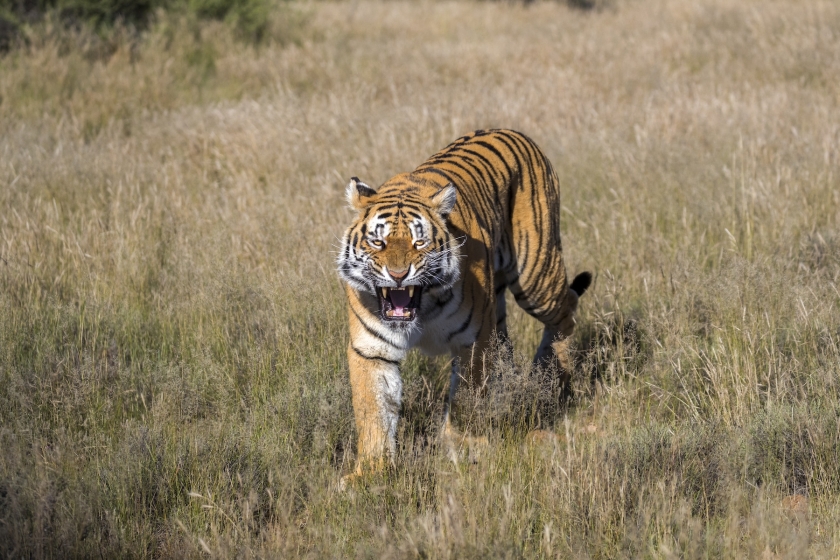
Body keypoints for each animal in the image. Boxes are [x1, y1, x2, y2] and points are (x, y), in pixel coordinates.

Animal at [334, 128, 592, 482]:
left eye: (419, 242)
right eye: (378, 241)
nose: (398, 275)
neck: (422, 309)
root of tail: (513, 131)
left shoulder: (473, 341)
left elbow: (466, 398)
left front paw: (463, 448)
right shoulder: (371, 349)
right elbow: (374, 411)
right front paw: (371, 473)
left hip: (536, 274)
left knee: (565, 311)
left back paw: (550, 379)